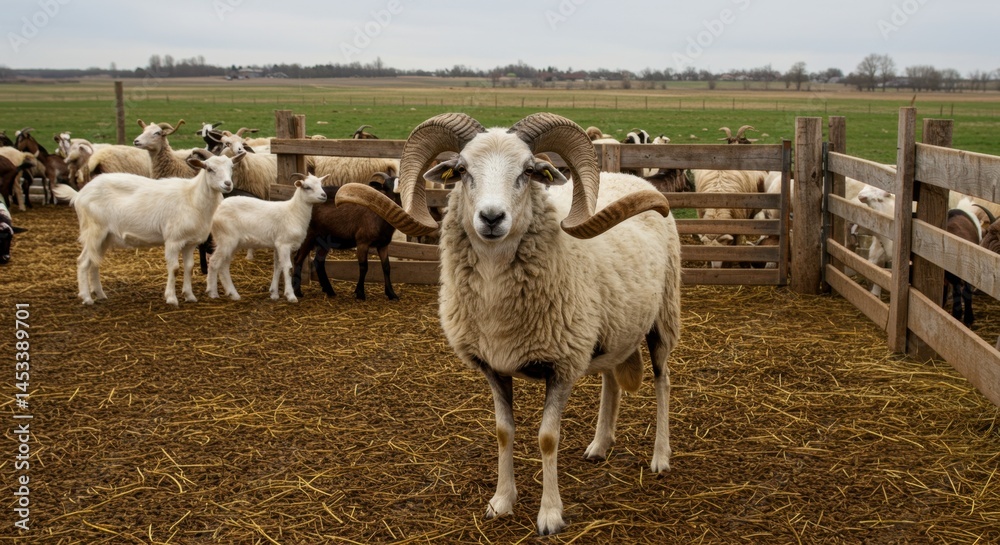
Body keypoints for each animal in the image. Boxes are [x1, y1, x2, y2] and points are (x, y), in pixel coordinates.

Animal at [52, 152, 245, 306]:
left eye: (231, 167)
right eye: (209, 169)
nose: (227, 184)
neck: (192, 198)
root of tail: (79, 194)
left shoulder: (190, 242)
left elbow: (189, 267)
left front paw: (189, 296)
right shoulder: (173, 239)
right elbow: (174, 268)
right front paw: (171, 298)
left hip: (105, 236)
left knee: (94, 262)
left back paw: (100, 294)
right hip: (93, 231)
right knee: (83, 262)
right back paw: (86, 298)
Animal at [206, 173, 327, 302]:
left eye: (321, 185)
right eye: (307, 187)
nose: (324, 195)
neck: (293, 212)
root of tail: (216, 209)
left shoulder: (278, 245)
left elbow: (278, 267)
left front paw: (274, 294)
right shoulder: (284, 244)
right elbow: (288, 267)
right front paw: (290, 295)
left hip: (232, 243)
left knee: (224, 265)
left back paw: (233, 294)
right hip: (226, 239)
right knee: (214, 262)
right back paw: (212, 292)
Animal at [291, 172, 401, 301]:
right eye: (385, 187)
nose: (393, 203)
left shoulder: (383, 245)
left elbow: (387, 267)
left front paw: (391, 294)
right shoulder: (362, 242)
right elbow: (364, 267)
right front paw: (360, 293)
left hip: (324, 240)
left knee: (319, 261)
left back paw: (329, 291)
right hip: (308, 236)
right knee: (298, 259)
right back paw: (298, 291)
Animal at [335, 112, 679, 535]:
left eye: (528, 171)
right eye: (461, 171)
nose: (491, 217)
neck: (498, 307)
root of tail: (633, 178)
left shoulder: (561, 367)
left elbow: (547, 438)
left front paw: (550, 515)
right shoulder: (494, 367)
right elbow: (503, 432)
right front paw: (501, 502)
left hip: (663, 319)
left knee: (663, 382)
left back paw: (660, 458)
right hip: (610, 330)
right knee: (610, 379)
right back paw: (599, 446)